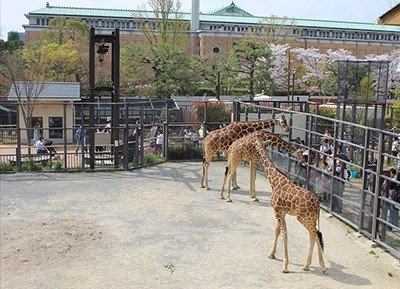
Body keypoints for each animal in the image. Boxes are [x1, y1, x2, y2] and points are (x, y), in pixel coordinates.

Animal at [253, 137, 328, 272]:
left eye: (256, 143)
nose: (253, 145)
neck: (273, 180)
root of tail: (318, 205)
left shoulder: (277, 211)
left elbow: (284, 235)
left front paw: (285, 265)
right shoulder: (281, 212)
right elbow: (277, 231)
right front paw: (271, 254)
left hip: (303, 217)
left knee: (313, 235)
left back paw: (308, 265)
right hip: (312, 219)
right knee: (317, 235)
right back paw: (321, 266)